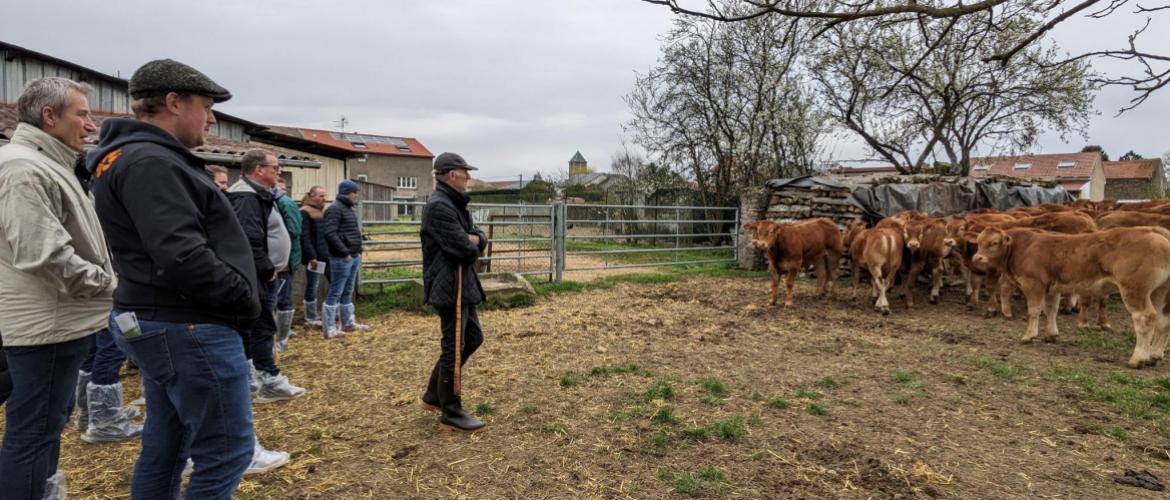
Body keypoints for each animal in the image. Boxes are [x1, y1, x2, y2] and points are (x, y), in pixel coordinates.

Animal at [973, 227, 1170, 367]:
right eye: (978, 242)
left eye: (994, 242)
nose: (977, 258)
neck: (1023, 247)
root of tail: (1156, 231)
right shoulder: (1052, 288)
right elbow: (1051, 310)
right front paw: (1051, 334)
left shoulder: (1033, 284)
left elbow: (1034, 311)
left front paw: (1028, 335)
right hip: (1160, 292)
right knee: (1163, 321)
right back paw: (1154, 355)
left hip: (1135, 291)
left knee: (1145, 318)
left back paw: (1138, 358)